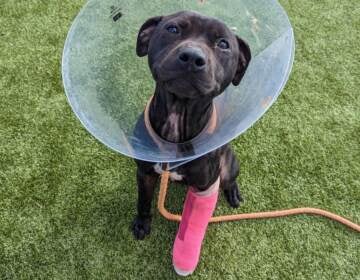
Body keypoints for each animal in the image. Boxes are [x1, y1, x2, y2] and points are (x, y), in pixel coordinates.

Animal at [131, 10, 250, 238]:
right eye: (173, 29)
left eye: (223, 44)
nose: (193, 57)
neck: (178, 114)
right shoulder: (145, 173)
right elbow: (143, 201)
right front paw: (142, 223)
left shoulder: (204, 185)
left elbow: (193, 216)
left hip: (228, 166)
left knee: (229, 180)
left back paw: (233, 192)